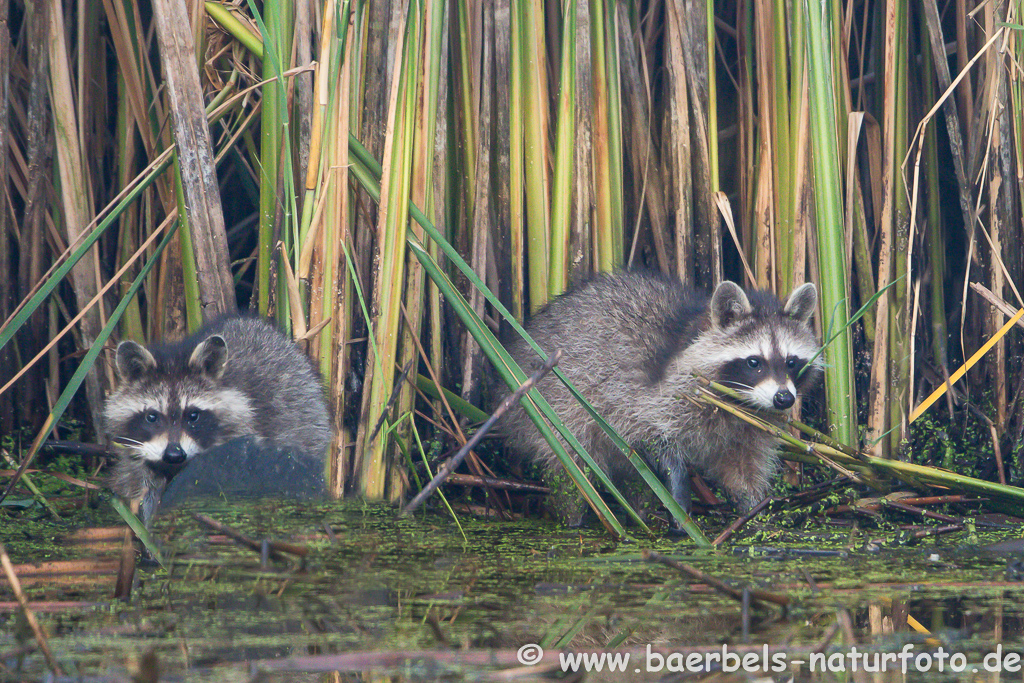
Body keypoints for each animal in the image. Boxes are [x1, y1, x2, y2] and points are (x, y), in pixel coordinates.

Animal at [495, 270, 823, 528]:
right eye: (755, 362)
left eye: (792, 362)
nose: (784, 399)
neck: (737, 402)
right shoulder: (653, 396)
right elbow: (654, 437)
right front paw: (679, 494)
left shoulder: (751, 426)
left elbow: (744, 469)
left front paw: (753, 509)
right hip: (553, 409)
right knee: (572, 471)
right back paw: (573, 517)